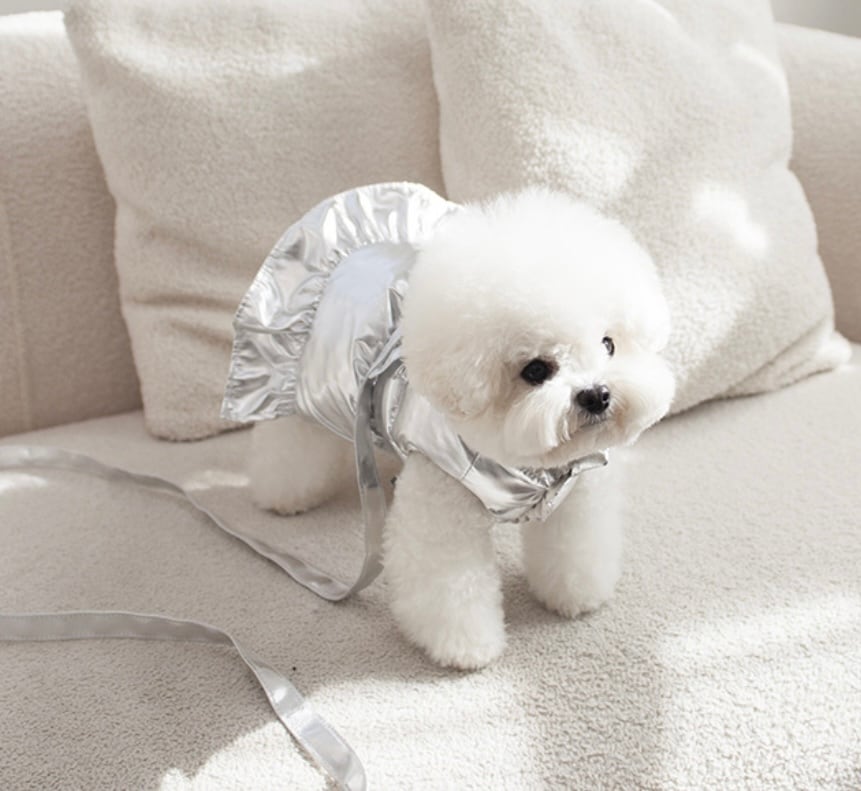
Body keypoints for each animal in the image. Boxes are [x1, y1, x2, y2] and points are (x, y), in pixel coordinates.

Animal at [248, 187, 675, 669]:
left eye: (608, 344)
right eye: (535, 370)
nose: (597, 395)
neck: (525, 465)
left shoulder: (574, 497)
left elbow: (571, 548)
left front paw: (575, 595)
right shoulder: (443, 508)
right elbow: (451, 585)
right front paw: (466, 648)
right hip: (293, 389)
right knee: (288, 442)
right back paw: (282, 495)